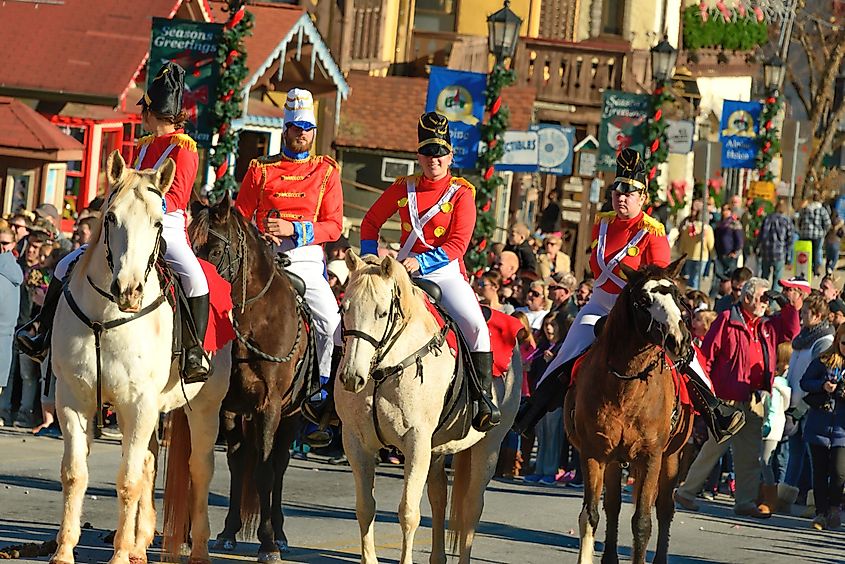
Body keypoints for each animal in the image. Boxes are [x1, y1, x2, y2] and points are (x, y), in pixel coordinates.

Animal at [52, 150, 231, 564]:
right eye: (111, 217)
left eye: (157, 222)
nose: (129, 290)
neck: (105, 317)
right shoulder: (73, 399)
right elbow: (75, 473)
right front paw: (65, 550)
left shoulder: (138, 403)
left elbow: (129, 480)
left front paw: (118, 555)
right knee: (149, 462)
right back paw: (139, 544)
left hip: (203, 408)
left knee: (199, 469)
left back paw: (197, 549)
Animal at [185, 195, 316, 564]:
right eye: (189, 245)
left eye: (215, 250)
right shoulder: (229, 407)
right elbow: (237, 465)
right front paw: (228, 532)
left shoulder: (269, 406)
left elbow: (265, 472)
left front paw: (268, 543)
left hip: (291, 416)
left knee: (280, 466)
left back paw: (280, 534)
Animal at [334, 253, 520, 564]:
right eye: (343, 308)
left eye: (382, 313)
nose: (351, 377)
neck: (383, 371)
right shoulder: (356, 442)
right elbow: (365, 507)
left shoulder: (416, 442)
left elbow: (408, 512)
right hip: (436, 450)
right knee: (439, 496)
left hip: (489, 445)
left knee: (471, 507)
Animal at [564, 256, 696, 564]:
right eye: (642, 300)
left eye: (678, 296)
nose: (679, 340)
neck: (627, 385)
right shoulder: (594, 454)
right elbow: (591, 515)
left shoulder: (651, 457)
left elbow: (643, 522)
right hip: (615, 460)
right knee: (613, 506)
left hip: (671, 458)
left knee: (665, 508)